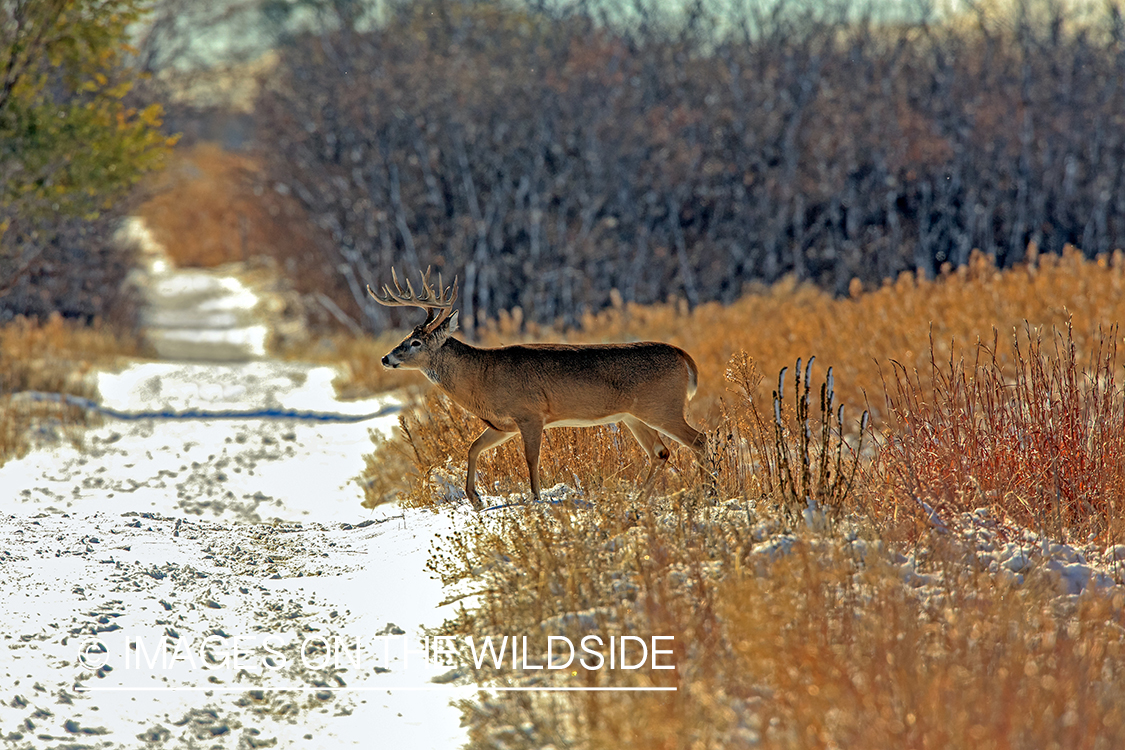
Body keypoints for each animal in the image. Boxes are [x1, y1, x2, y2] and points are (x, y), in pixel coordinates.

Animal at [369, 269, 702, 510]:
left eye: (415, 342)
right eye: (405, 337)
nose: (385, 358)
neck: (481, 377)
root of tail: (686, 359)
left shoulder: (529, 413)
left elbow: (531, 457)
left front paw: (536, 498)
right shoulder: (503, 424)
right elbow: (473, 447)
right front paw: (475, 499)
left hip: (663, 407)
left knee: (699, 440)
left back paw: (707, 488)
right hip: (634, 416)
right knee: (661, 452)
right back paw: (640, 500)